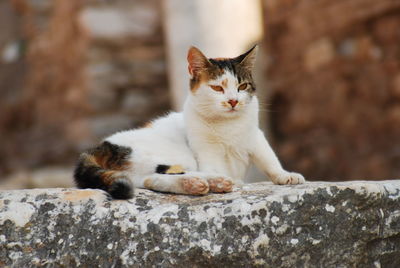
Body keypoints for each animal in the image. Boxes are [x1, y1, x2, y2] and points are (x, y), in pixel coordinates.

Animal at [73, 45, 304, 199]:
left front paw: (285, 176)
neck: (228, 125)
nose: (233, 101)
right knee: (162, 174)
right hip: (170, 154)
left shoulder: (256, 136)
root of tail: (102, 145)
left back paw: (204, 183)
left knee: (148, 179)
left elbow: (269, 158)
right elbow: (213, 165)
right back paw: (210, 182)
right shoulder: (206, 151)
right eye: (217, 88)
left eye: (242, 86)